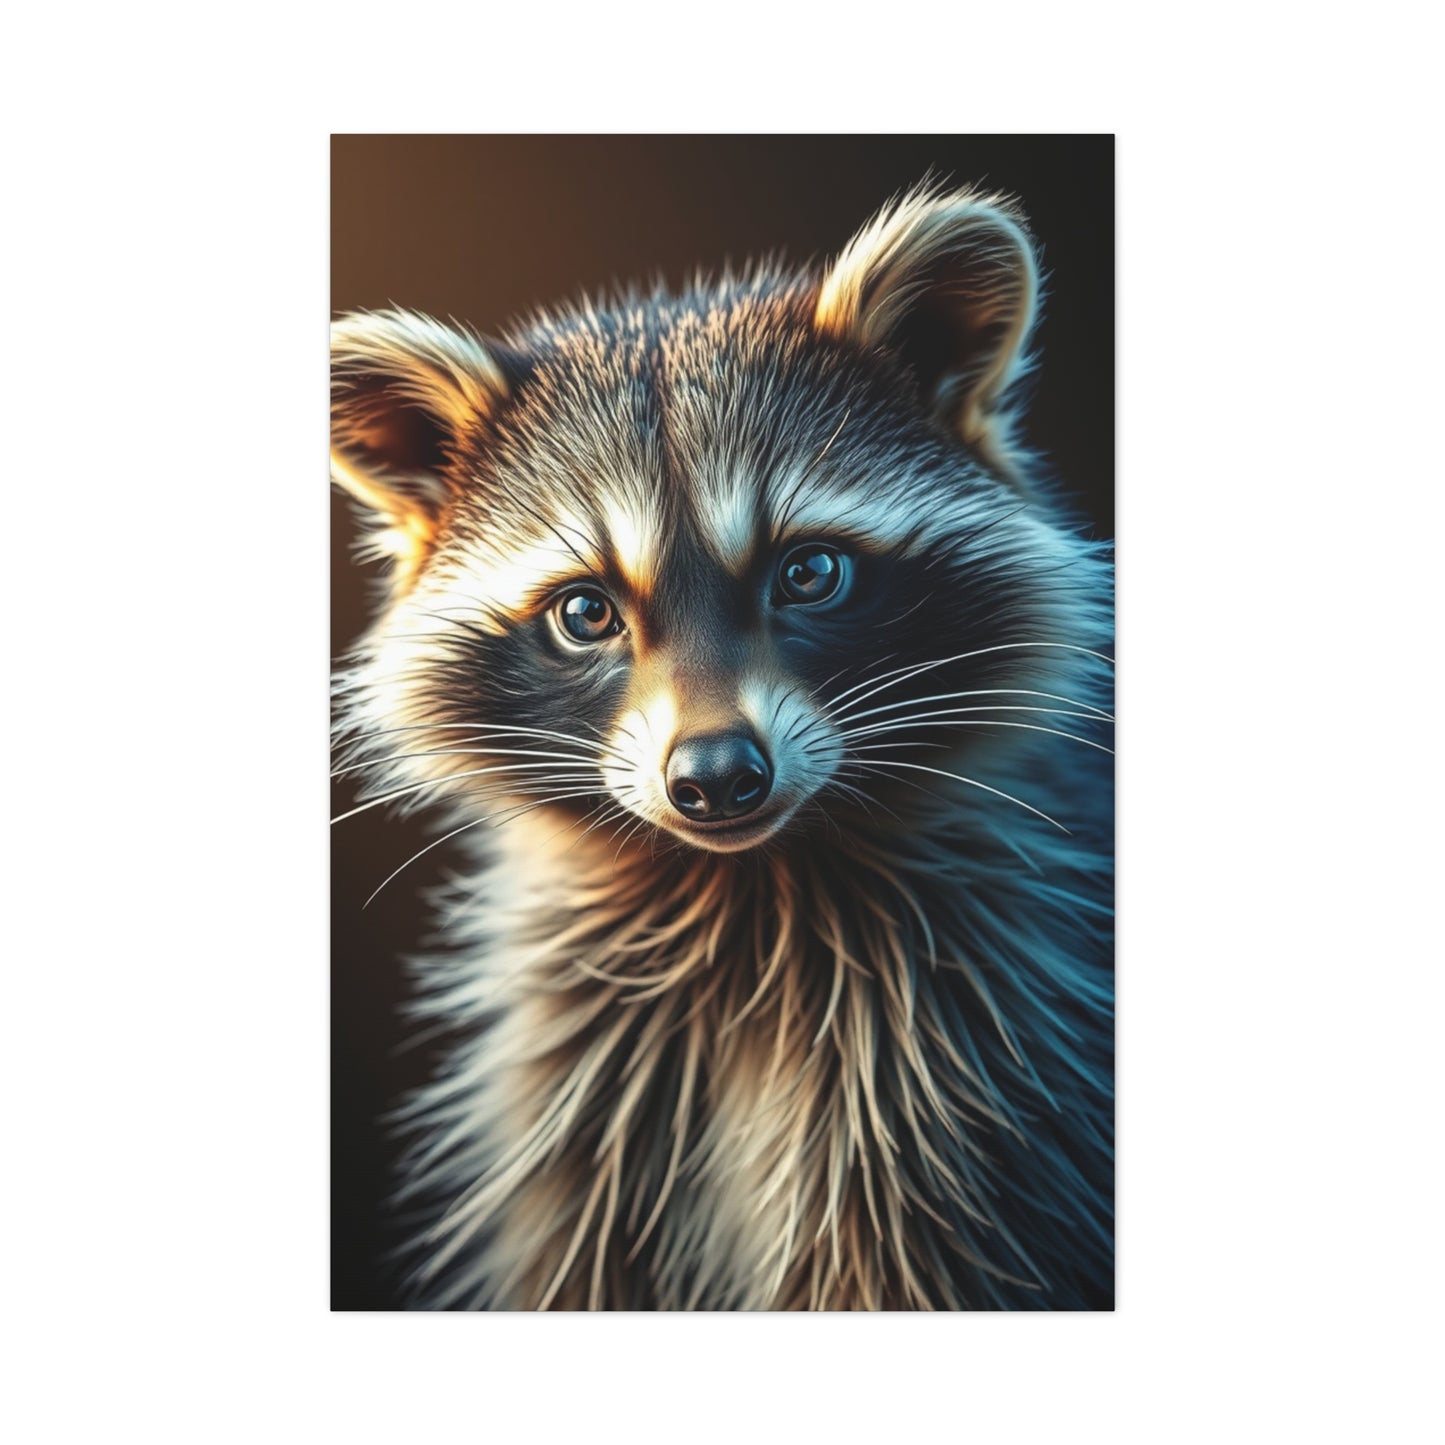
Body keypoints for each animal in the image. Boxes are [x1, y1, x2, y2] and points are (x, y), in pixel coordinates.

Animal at [332, 184, 1114, 1310]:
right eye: (585, 611)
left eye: (808, 573)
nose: (714, 778)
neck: (748, 888)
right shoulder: (582, 1095)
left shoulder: (964, 1081)